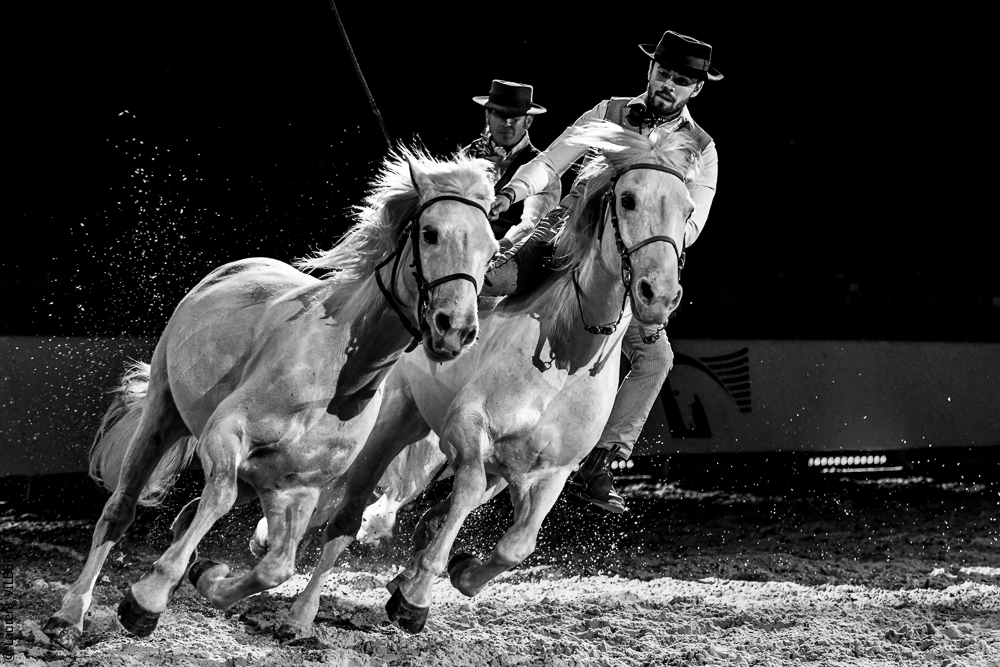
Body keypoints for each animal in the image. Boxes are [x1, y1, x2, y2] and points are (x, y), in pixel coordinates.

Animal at [42, 146, 500, 650]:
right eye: (430, 233)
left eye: (492, 251)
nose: (455, 329)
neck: (339, 374)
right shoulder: (225, 437)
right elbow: (219, 499)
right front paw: (146, 600)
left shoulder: (296, 488)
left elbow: (276, 567)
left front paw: (211, 581)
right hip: (162, 413)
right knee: (120, 510)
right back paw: (69, 615)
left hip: (256, 479)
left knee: (189, 517)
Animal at [272, 120, 702, 636]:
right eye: (629, 199)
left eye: (688, 210)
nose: (659, 294)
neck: (566, 356)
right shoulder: (468, 428)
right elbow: (467, 490)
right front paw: (415, 598)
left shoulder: (551, 471)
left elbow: (516, 545)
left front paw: (455, 572)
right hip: (391, 425)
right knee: (343, 514)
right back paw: (296, 606)